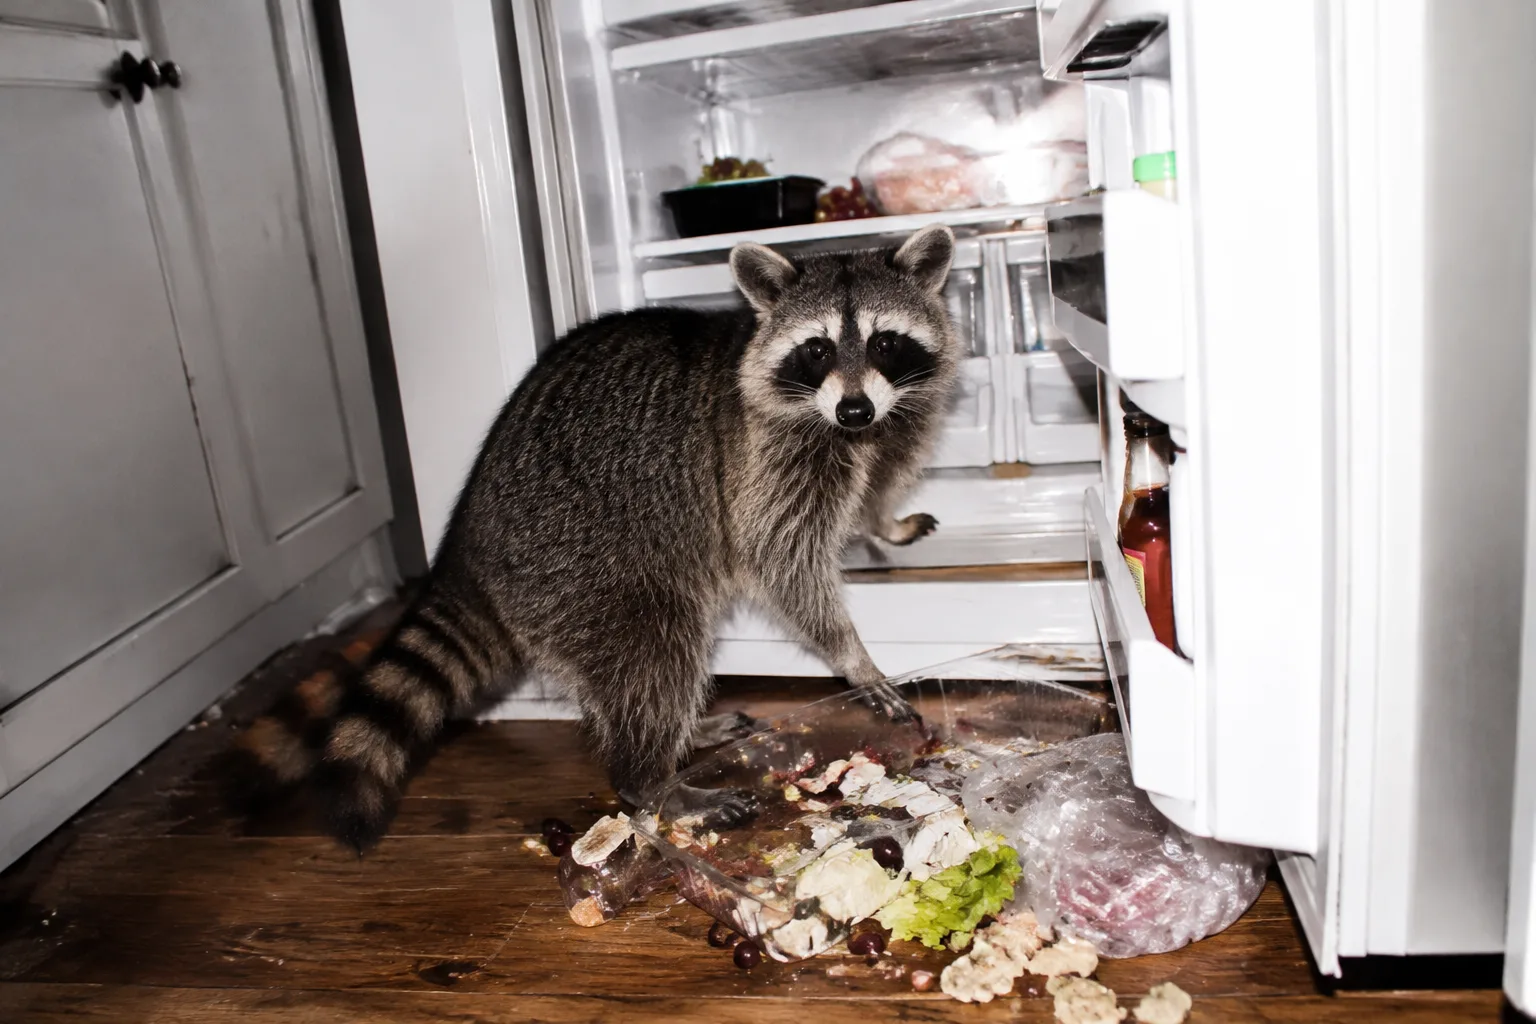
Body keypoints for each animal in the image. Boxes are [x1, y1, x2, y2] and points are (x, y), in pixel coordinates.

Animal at [231, 225, 959, 850]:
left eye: (885, 342)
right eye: (817, 349)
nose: (854, 409)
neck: (853, 429)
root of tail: (465, 546)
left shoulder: (892, 423)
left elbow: (876, 488)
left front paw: (884, 521)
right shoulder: (764, 459)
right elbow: (780, 559)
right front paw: (851, 653)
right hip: (582, 563)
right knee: (656, 650)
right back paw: (650, 779)